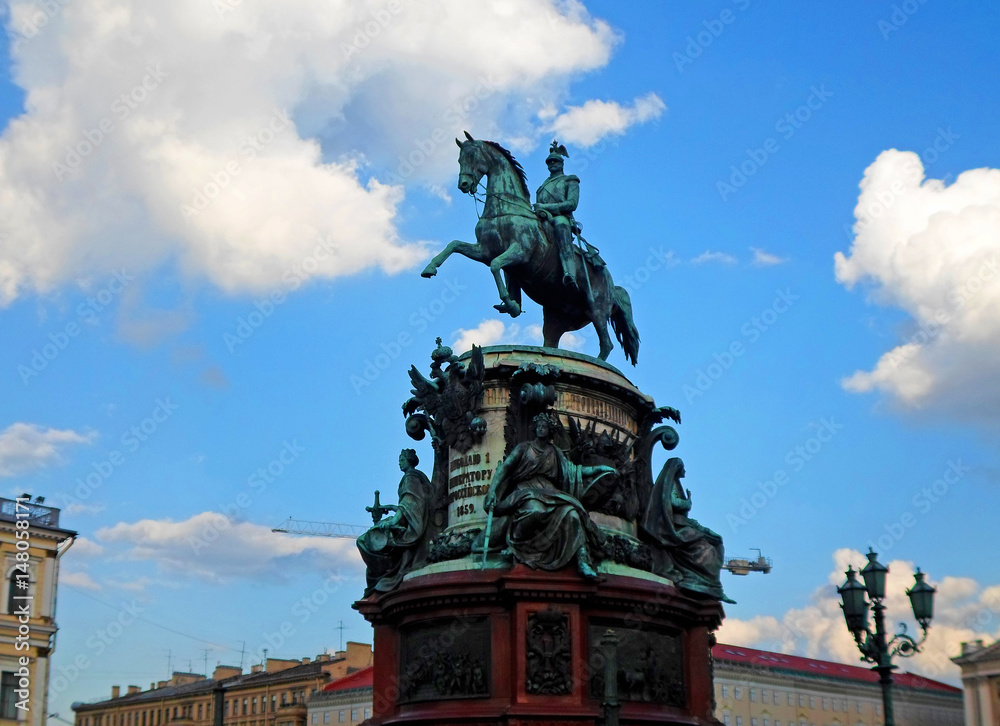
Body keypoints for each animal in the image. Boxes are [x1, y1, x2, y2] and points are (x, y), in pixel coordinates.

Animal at [420, 134, 640, 366]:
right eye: (459, 159)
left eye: (472, 156)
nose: (463, 184)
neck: (505, 210)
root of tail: (613, 285)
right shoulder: (484, 251)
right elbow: (454, 245)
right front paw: (430, 268)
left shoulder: (520, 252)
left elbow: (495, 265)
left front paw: (510, 303)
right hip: (556, 318)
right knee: (551, 342)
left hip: (596, 308)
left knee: (607, 344)